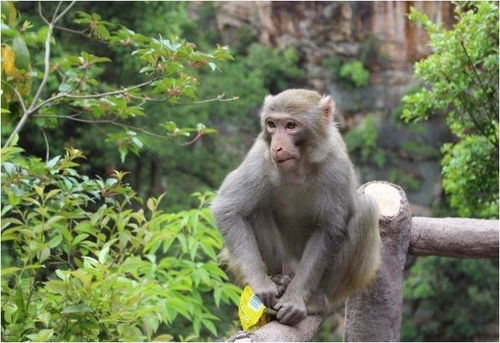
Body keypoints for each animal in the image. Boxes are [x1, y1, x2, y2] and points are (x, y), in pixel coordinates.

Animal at [210, 88, 378, 326]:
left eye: (291, 126)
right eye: (271, 124)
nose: (277, 146)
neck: (299, 167)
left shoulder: (338, 167)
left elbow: (329, 230)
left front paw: (295, 299)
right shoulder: (259, 158)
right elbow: (228, 210)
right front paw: (261, 284)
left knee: (365, 210)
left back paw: (316, 299)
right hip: (279, 260)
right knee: (255, 208)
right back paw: (278, 280)